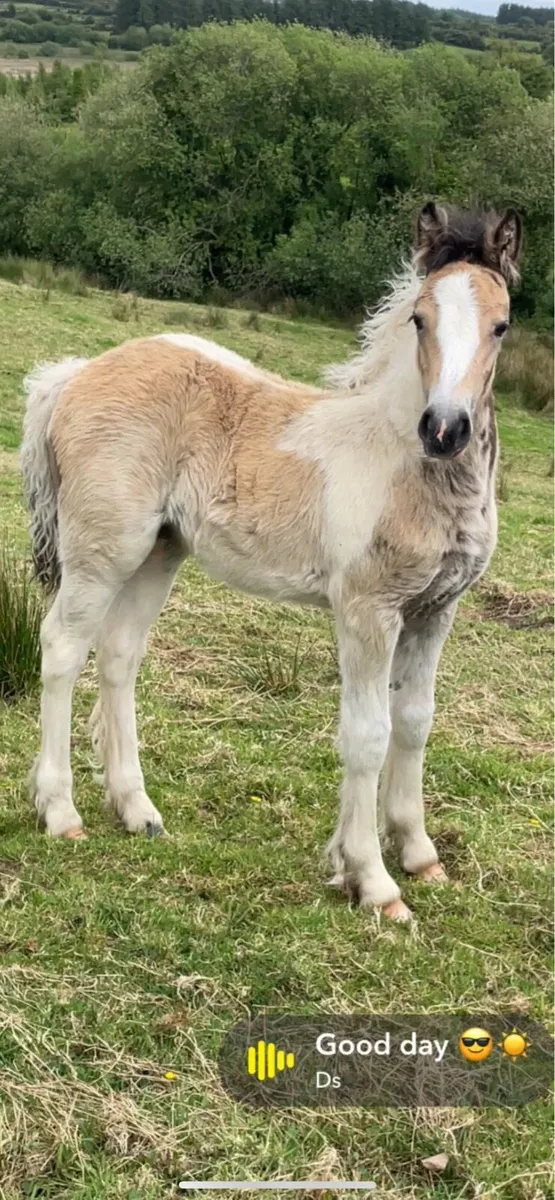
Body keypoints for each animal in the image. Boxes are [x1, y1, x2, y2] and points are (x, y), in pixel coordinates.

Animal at [20, 202, 521, 921]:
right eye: (419, 319)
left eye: (500, 325)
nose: (444, 429)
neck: (406, 467)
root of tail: (77, 373)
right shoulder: (366, 611)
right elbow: (367, 734)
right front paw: (372, 881)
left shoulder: (433, 612)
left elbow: (414, 723)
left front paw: (419, 854)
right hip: (102, 549)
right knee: (62, 647)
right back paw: (60, 812)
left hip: (160, 551)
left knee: (119, 655)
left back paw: (137, 809)